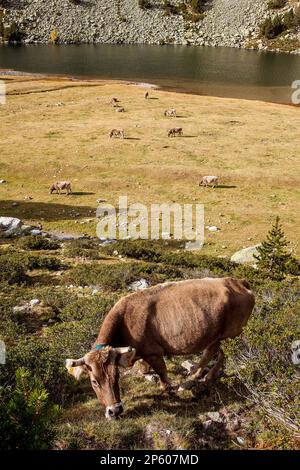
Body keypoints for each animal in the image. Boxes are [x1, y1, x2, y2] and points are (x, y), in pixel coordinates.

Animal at [66, 276, 255, 418]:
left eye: (116, 376)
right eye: (94, 381)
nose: (115, 410)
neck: (124, 322)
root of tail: (237, 281)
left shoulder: (153, 352)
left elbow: (162, 371)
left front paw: (165, 387)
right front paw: (144, 370)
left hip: (231, 335)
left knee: (222, 355)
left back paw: (207, 376)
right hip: (217, 335)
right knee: (211, 351)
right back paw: (196, 372)